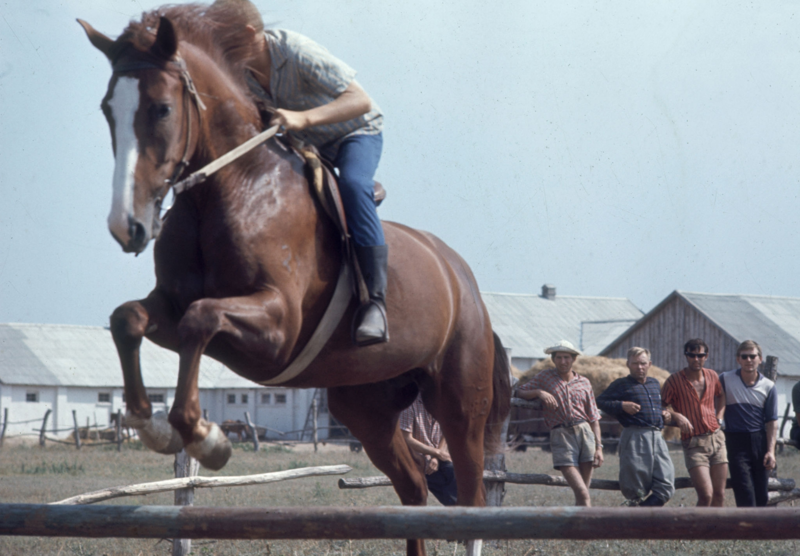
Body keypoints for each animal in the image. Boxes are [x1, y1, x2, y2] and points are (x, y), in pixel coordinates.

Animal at [79, 6, 506, 552]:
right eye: (108, 110)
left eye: (161, 109)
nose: (127, 226)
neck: (230, 188)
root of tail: (461, 278)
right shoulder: (169, 308)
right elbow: (129, 318)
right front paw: (149, 424)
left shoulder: (277, 329)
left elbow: (202, 318)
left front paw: (205, 437)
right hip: (365, 407)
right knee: (412, 489)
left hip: (460, 402)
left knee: (472, 496)